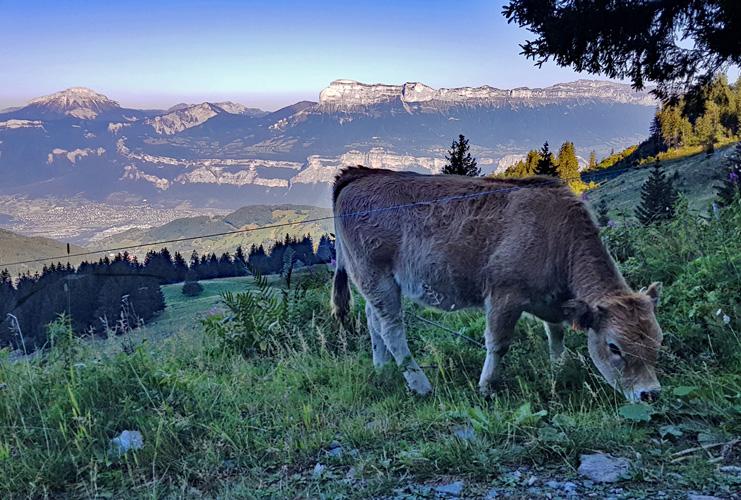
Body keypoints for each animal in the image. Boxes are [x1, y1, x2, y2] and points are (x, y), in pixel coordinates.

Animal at [332, 168, 660, 402]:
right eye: (614, 347)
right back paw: (420, 384)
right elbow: (499, 343)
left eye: (658, 342)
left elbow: (556, 334)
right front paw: (487, 386)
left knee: (374, 321)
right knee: (392, 329)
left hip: (373, 283)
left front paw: (558, 367)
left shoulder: (552, 301)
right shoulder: (504, 295)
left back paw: (383, 369)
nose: (650, 394)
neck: (558, 237)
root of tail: (360, 174)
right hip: (377, 276)